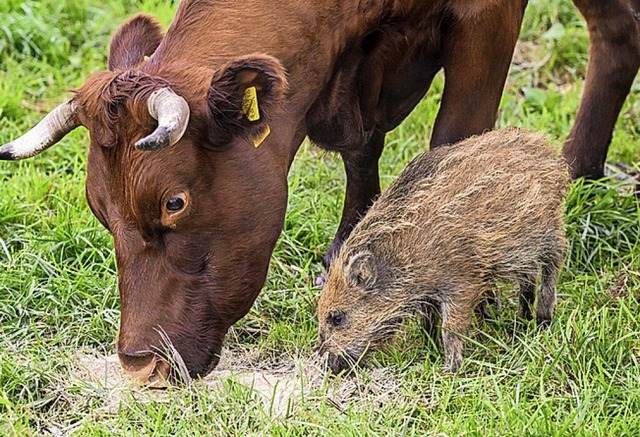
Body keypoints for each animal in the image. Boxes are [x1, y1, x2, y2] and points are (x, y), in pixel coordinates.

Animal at [0, 0, 636, 382]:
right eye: (98, 209)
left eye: (174, 202)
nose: (138, 366)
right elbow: (362, 156)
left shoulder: (485, 22)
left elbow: (455, 142)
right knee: (620, 31)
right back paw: (577, 171)